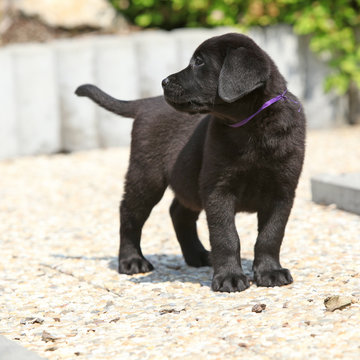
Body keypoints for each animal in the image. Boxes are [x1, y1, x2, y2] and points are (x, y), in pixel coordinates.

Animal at [75, 33, 304, 292]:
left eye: (199, 62)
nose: (164, 81)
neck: (252, 126)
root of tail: (146, 103)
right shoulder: (217, 189)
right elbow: (226, 236)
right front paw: (229, 277)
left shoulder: (282, 191)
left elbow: (271, 235)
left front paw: (270, 272)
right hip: (146, 176)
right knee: (129, 213)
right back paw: (132, 260)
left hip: (187, 179)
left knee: (178, 212)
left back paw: (197, 255)